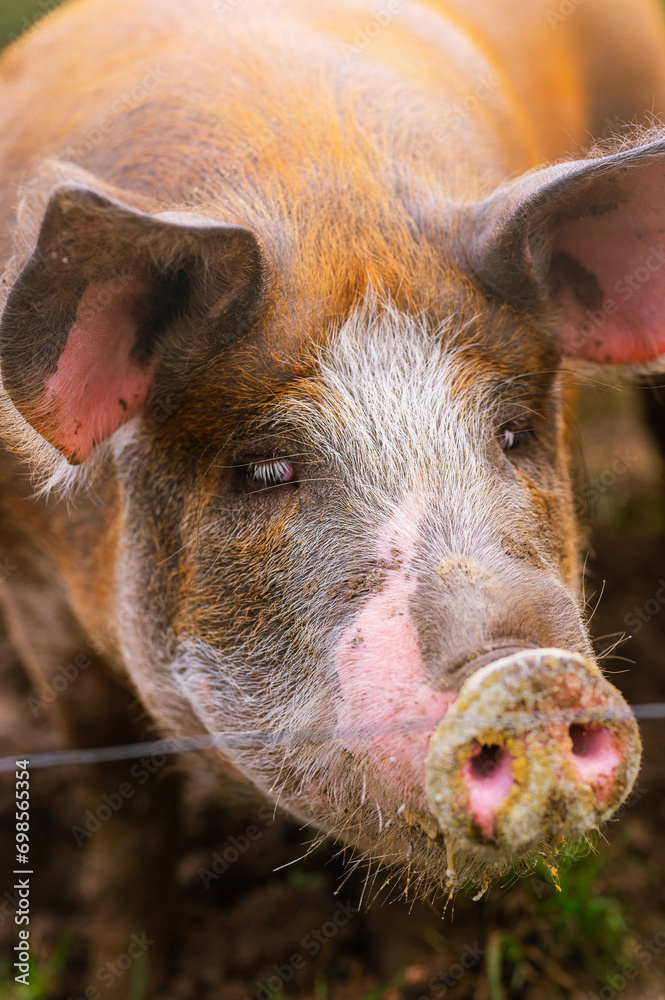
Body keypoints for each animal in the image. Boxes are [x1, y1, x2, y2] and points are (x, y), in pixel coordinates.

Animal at [1, 0, 665, 988]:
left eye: (512, 435)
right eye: (266, 469)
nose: (522, 676)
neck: (319, 196)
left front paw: (409, 973)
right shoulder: (32, 590)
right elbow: (124, 812)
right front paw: (127, 978)